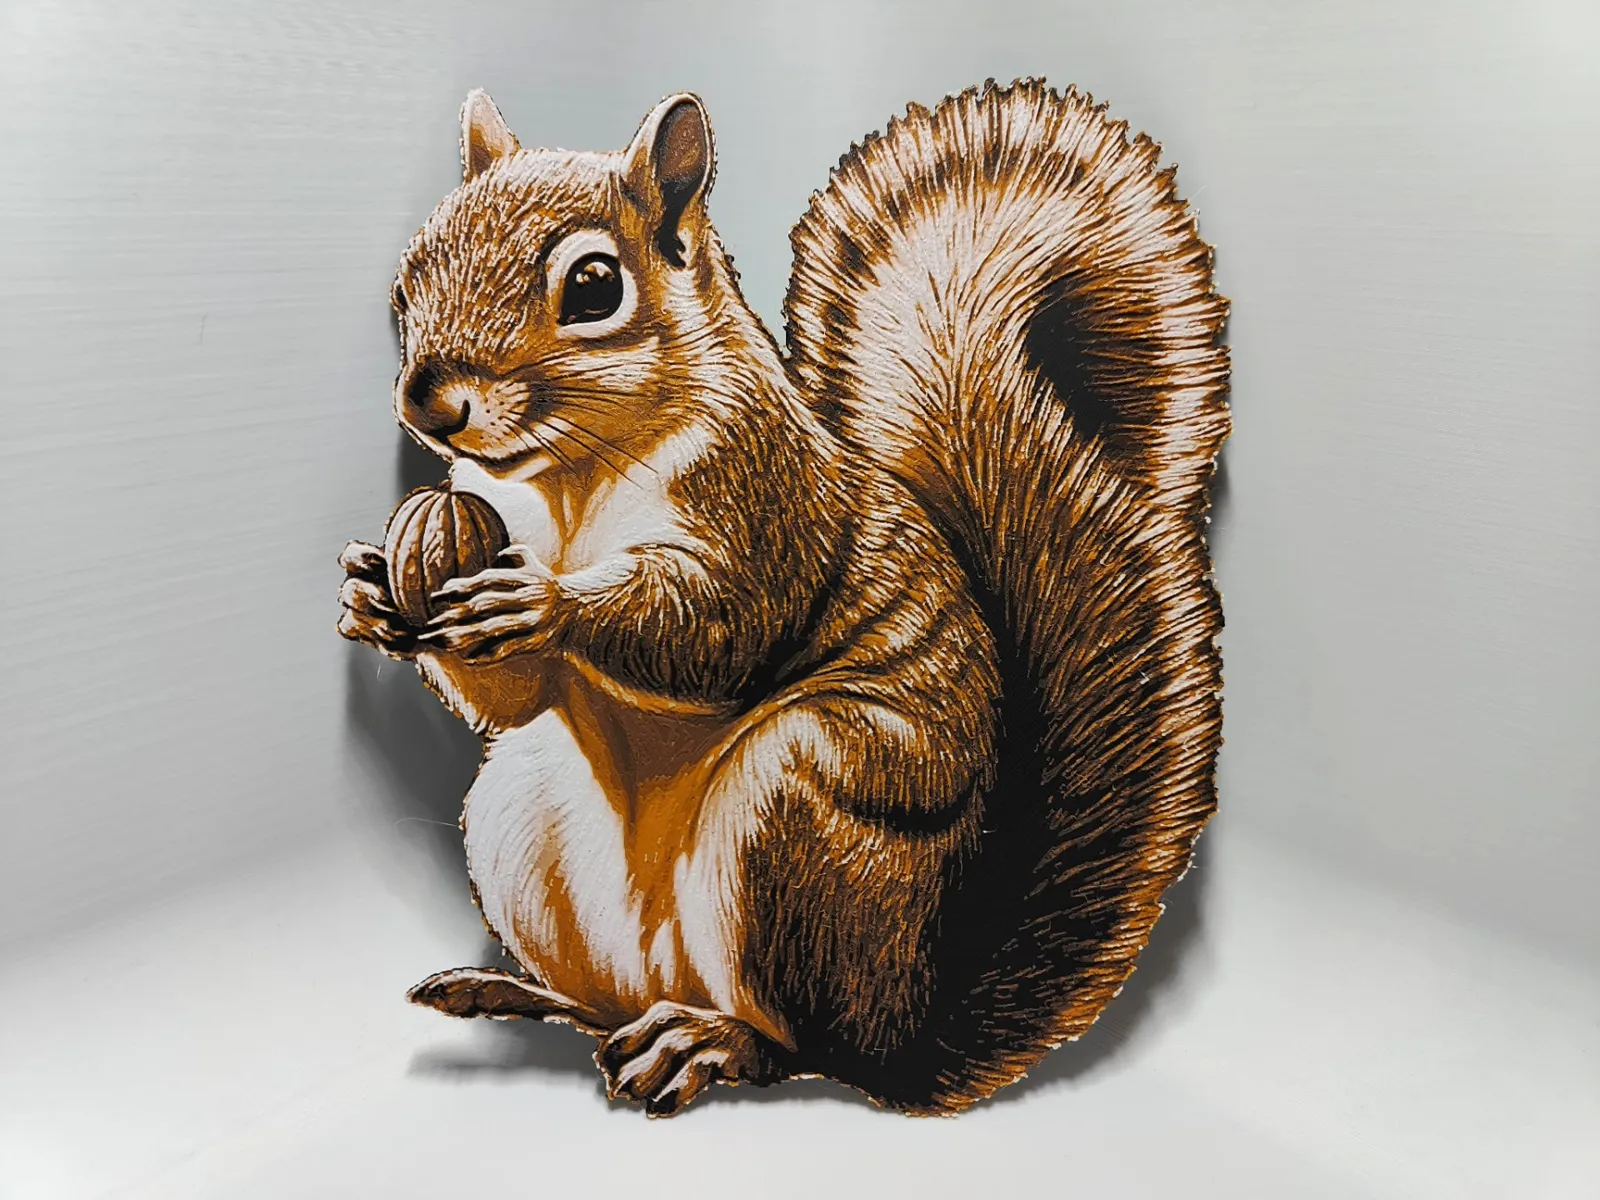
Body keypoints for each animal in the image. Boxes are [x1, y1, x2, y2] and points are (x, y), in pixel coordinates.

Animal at [338, 79, 1228, 1116]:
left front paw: (549, 604)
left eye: (594, 286)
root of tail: (905, 1033)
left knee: (801, 1045)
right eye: (409, 277)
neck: (569, 480)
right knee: (604, 1003)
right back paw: (521, 990)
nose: (429, 404)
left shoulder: (765, 501)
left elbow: (718, 625)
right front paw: (370, 592)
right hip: (522, 813)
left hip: (795, 822)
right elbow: (514, 697)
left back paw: (710, 1041)